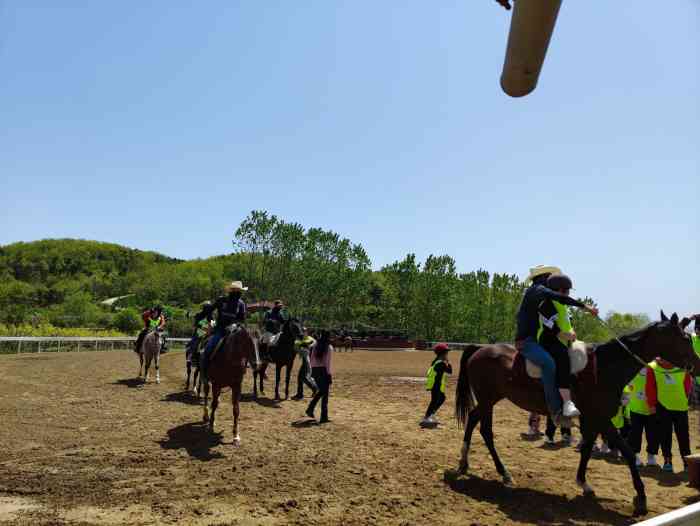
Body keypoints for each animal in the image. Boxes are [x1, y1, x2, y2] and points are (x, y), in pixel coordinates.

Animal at [452, 312, 696, 516]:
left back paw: (469, 463)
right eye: (685, 338)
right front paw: (641, 497)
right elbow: (626, 451)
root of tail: (480, 349)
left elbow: (587, 449)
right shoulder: (600, 418)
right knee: (484, 429)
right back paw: (499, 471)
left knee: (475, 421)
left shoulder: (593, 420)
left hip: (489, 401)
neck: (604, 368)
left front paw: (584, 484)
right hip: (488, 400)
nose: (696, 363)